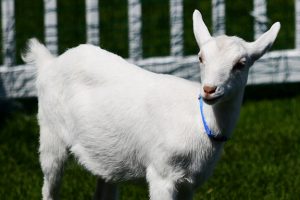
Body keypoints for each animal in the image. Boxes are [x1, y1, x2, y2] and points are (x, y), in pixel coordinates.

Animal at [22, 10, 280, 200]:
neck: (199, 122)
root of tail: (48, 63)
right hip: (50, 131)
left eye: (241, 64)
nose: (208, 89)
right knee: (50, 186)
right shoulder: (161, 173)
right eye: (200, 57)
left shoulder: (190, 182)